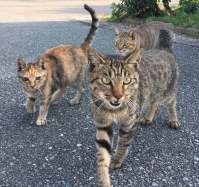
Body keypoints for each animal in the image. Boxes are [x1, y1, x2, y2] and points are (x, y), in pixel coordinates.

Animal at [86, 28, 180, 186]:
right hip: (152, 93)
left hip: (167, 92)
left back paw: (173, 120)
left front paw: (117, 159)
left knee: (172, 103)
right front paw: (103, 179)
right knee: (154, 104)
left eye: (127, 80)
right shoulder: (103, 124)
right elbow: (102, 154)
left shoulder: (129, 122)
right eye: (106, 80)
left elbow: (123, 142)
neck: (114, 109)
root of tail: (165, 50)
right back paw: (148, 118)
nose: (118, 96)